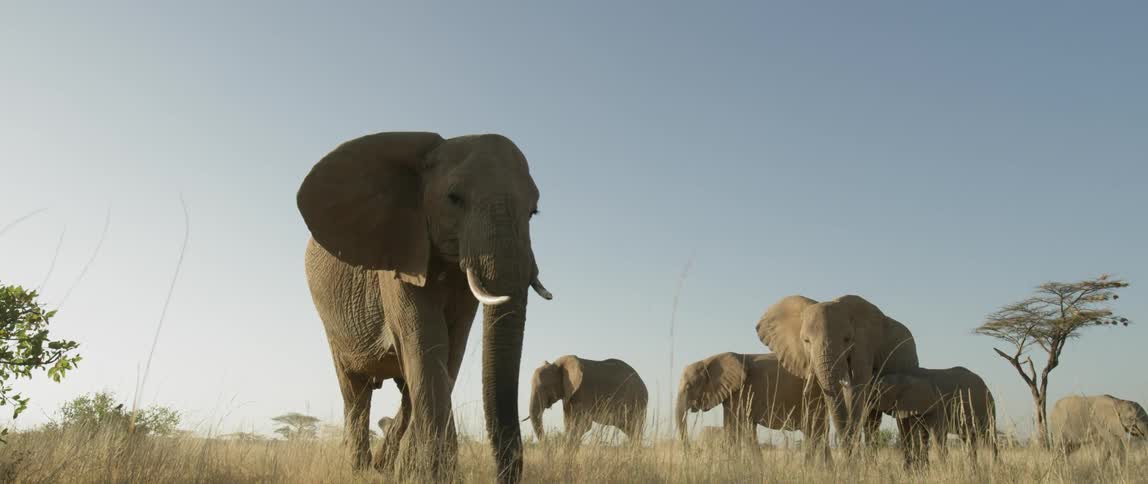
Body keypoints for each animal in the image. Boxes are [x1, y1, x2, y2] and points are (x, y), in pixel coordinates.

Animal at [297, 131, 553, 484]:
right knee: (355, 392)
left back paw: (385, 464)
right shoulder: (398, 258)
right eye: (454, 198)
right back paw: (361, 470)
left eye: (533, 211)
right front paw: (433, 475)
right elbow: (427, 346)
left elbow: (449, 353)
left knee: (405, 388)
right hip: (332, 324)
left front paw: (415, 472)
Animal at [675, 352, 829, 458]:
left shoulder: (741, 392)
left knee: (815, 433)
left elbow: (739, 429)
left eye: (688, 387)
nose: (693, 453)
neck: (708, 360)